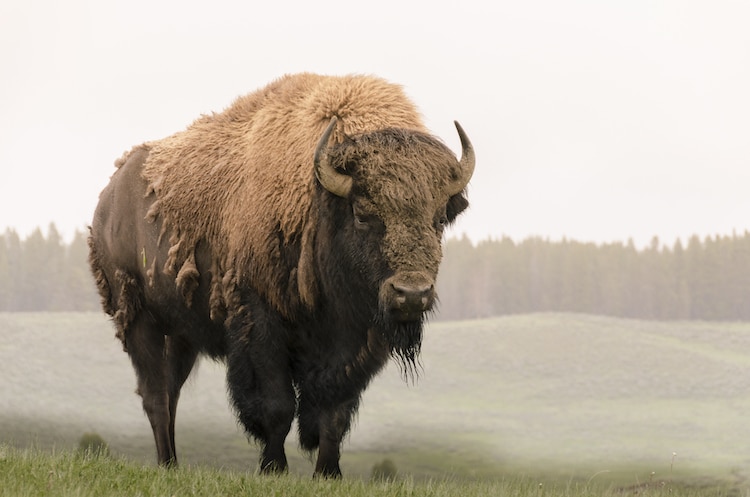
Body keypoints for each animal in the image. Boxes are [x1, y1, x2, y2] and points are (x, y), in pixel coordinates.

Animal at [88, 71, 476, 474]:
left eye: (440, 218)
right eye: (363, 213)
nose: (412, 293)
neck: (320, 202)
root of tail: (108, 197)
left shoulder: (357, 344)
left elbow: (334, 413)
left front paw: (328, 473)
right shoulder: (261, 324)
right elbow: (277, 406)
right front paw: (273, 468)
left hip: (181, 333)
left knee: (171, 391)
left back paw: (173, 463)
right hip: (138, 317)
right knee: (155, 396)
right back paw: (167, 464)